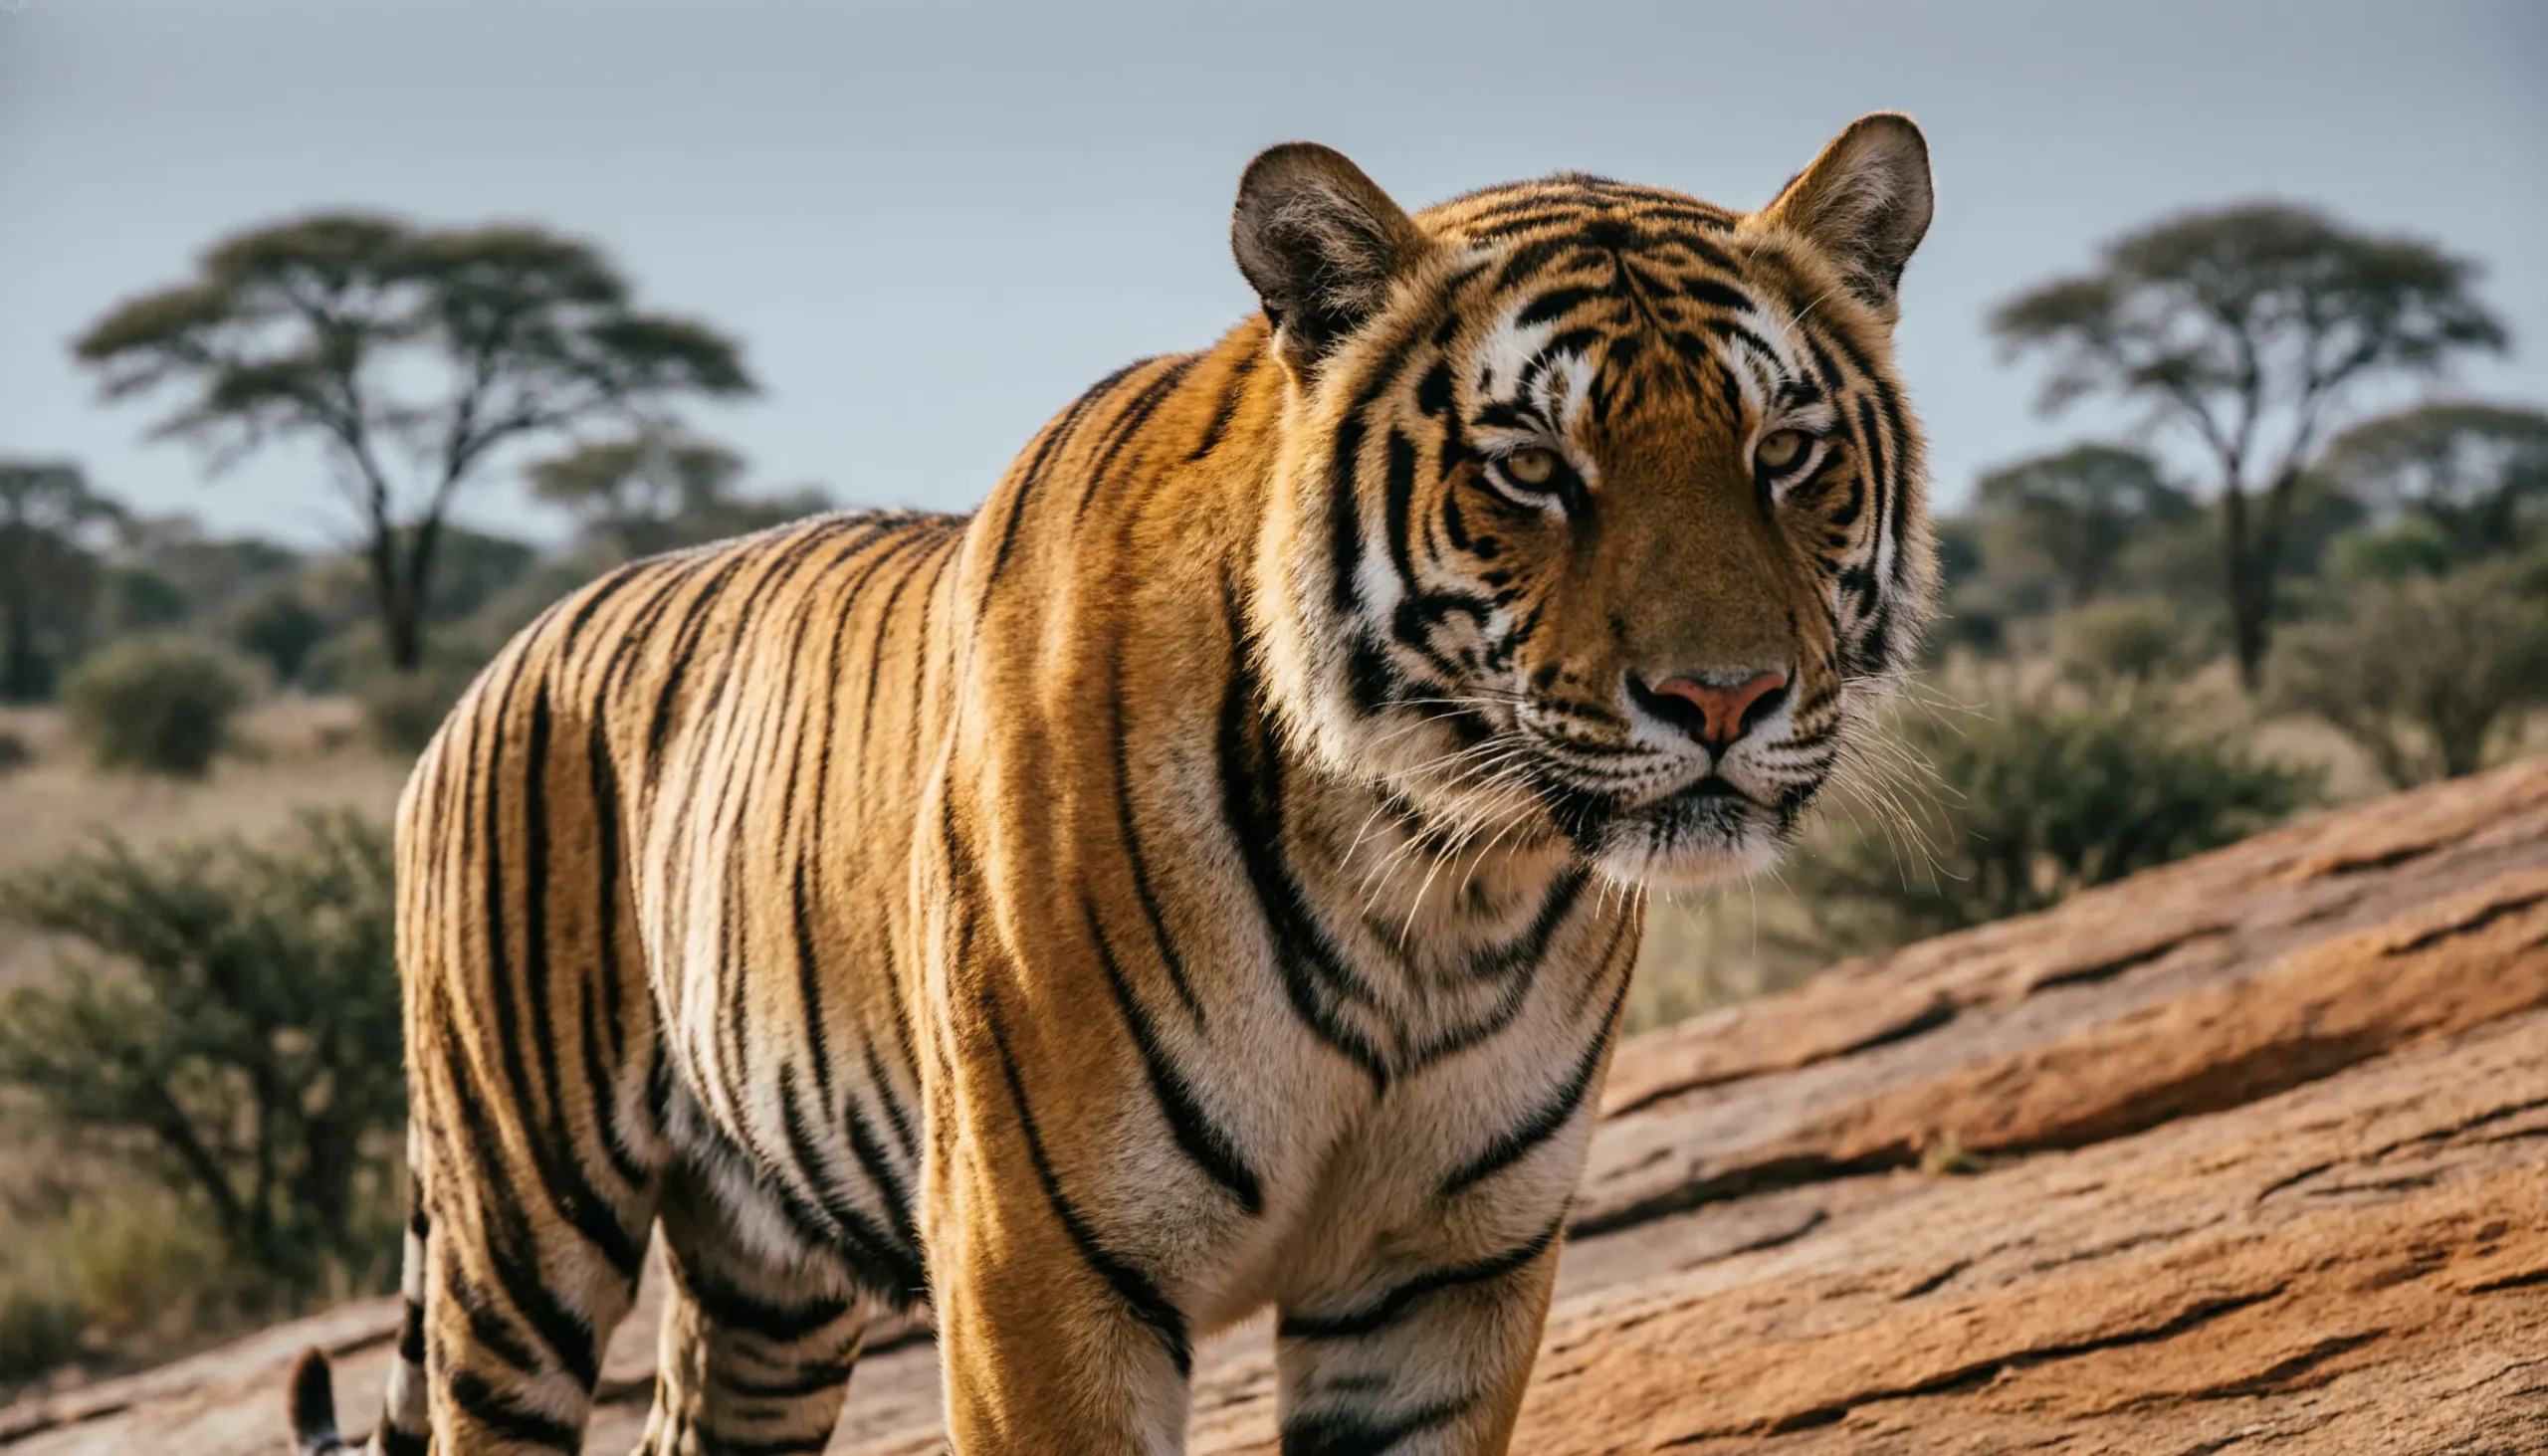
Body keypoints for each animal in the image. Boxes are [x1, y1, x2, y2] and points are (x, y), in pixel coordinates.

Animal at [287, 111, 1935, 1455]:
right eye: (1531, 464)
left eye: (1786, 450)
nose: (1722, 697)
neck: (1437, 881)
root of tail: (509, 650)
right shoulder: (1038, 1267)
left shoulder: (1444, 1275)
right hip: (518, 1225)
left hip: (768, 1279)